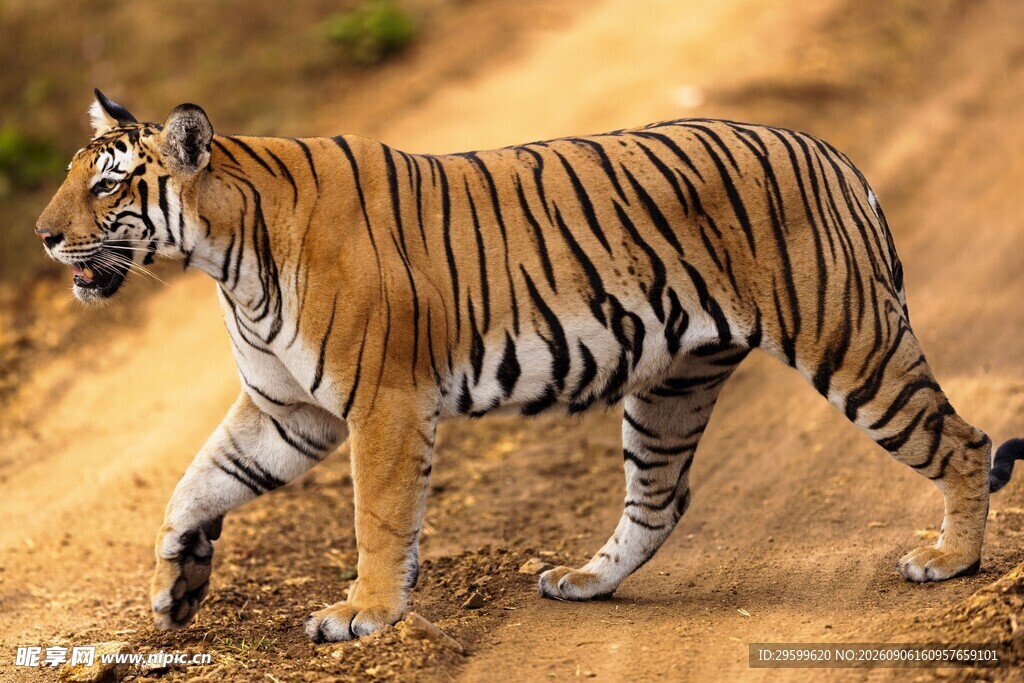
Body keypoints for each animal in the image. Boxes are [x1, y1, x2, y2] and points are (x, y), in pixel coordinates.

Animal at [36, 90, 1024, 643]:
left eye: (107, 184)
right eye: (73, 177)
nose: (43, 237)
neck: (225, 258)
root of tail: (830, 152)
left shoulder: (381, 402)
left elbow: (378, 518)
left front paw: (362, 615)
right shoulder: (287, 410)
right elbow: (196, 483)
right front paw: (174, 590)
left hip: (851, 341)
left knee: (964, 440)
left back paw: (950, 560)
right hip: (672, 384)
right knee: (660, 500)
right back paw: (585, 581)